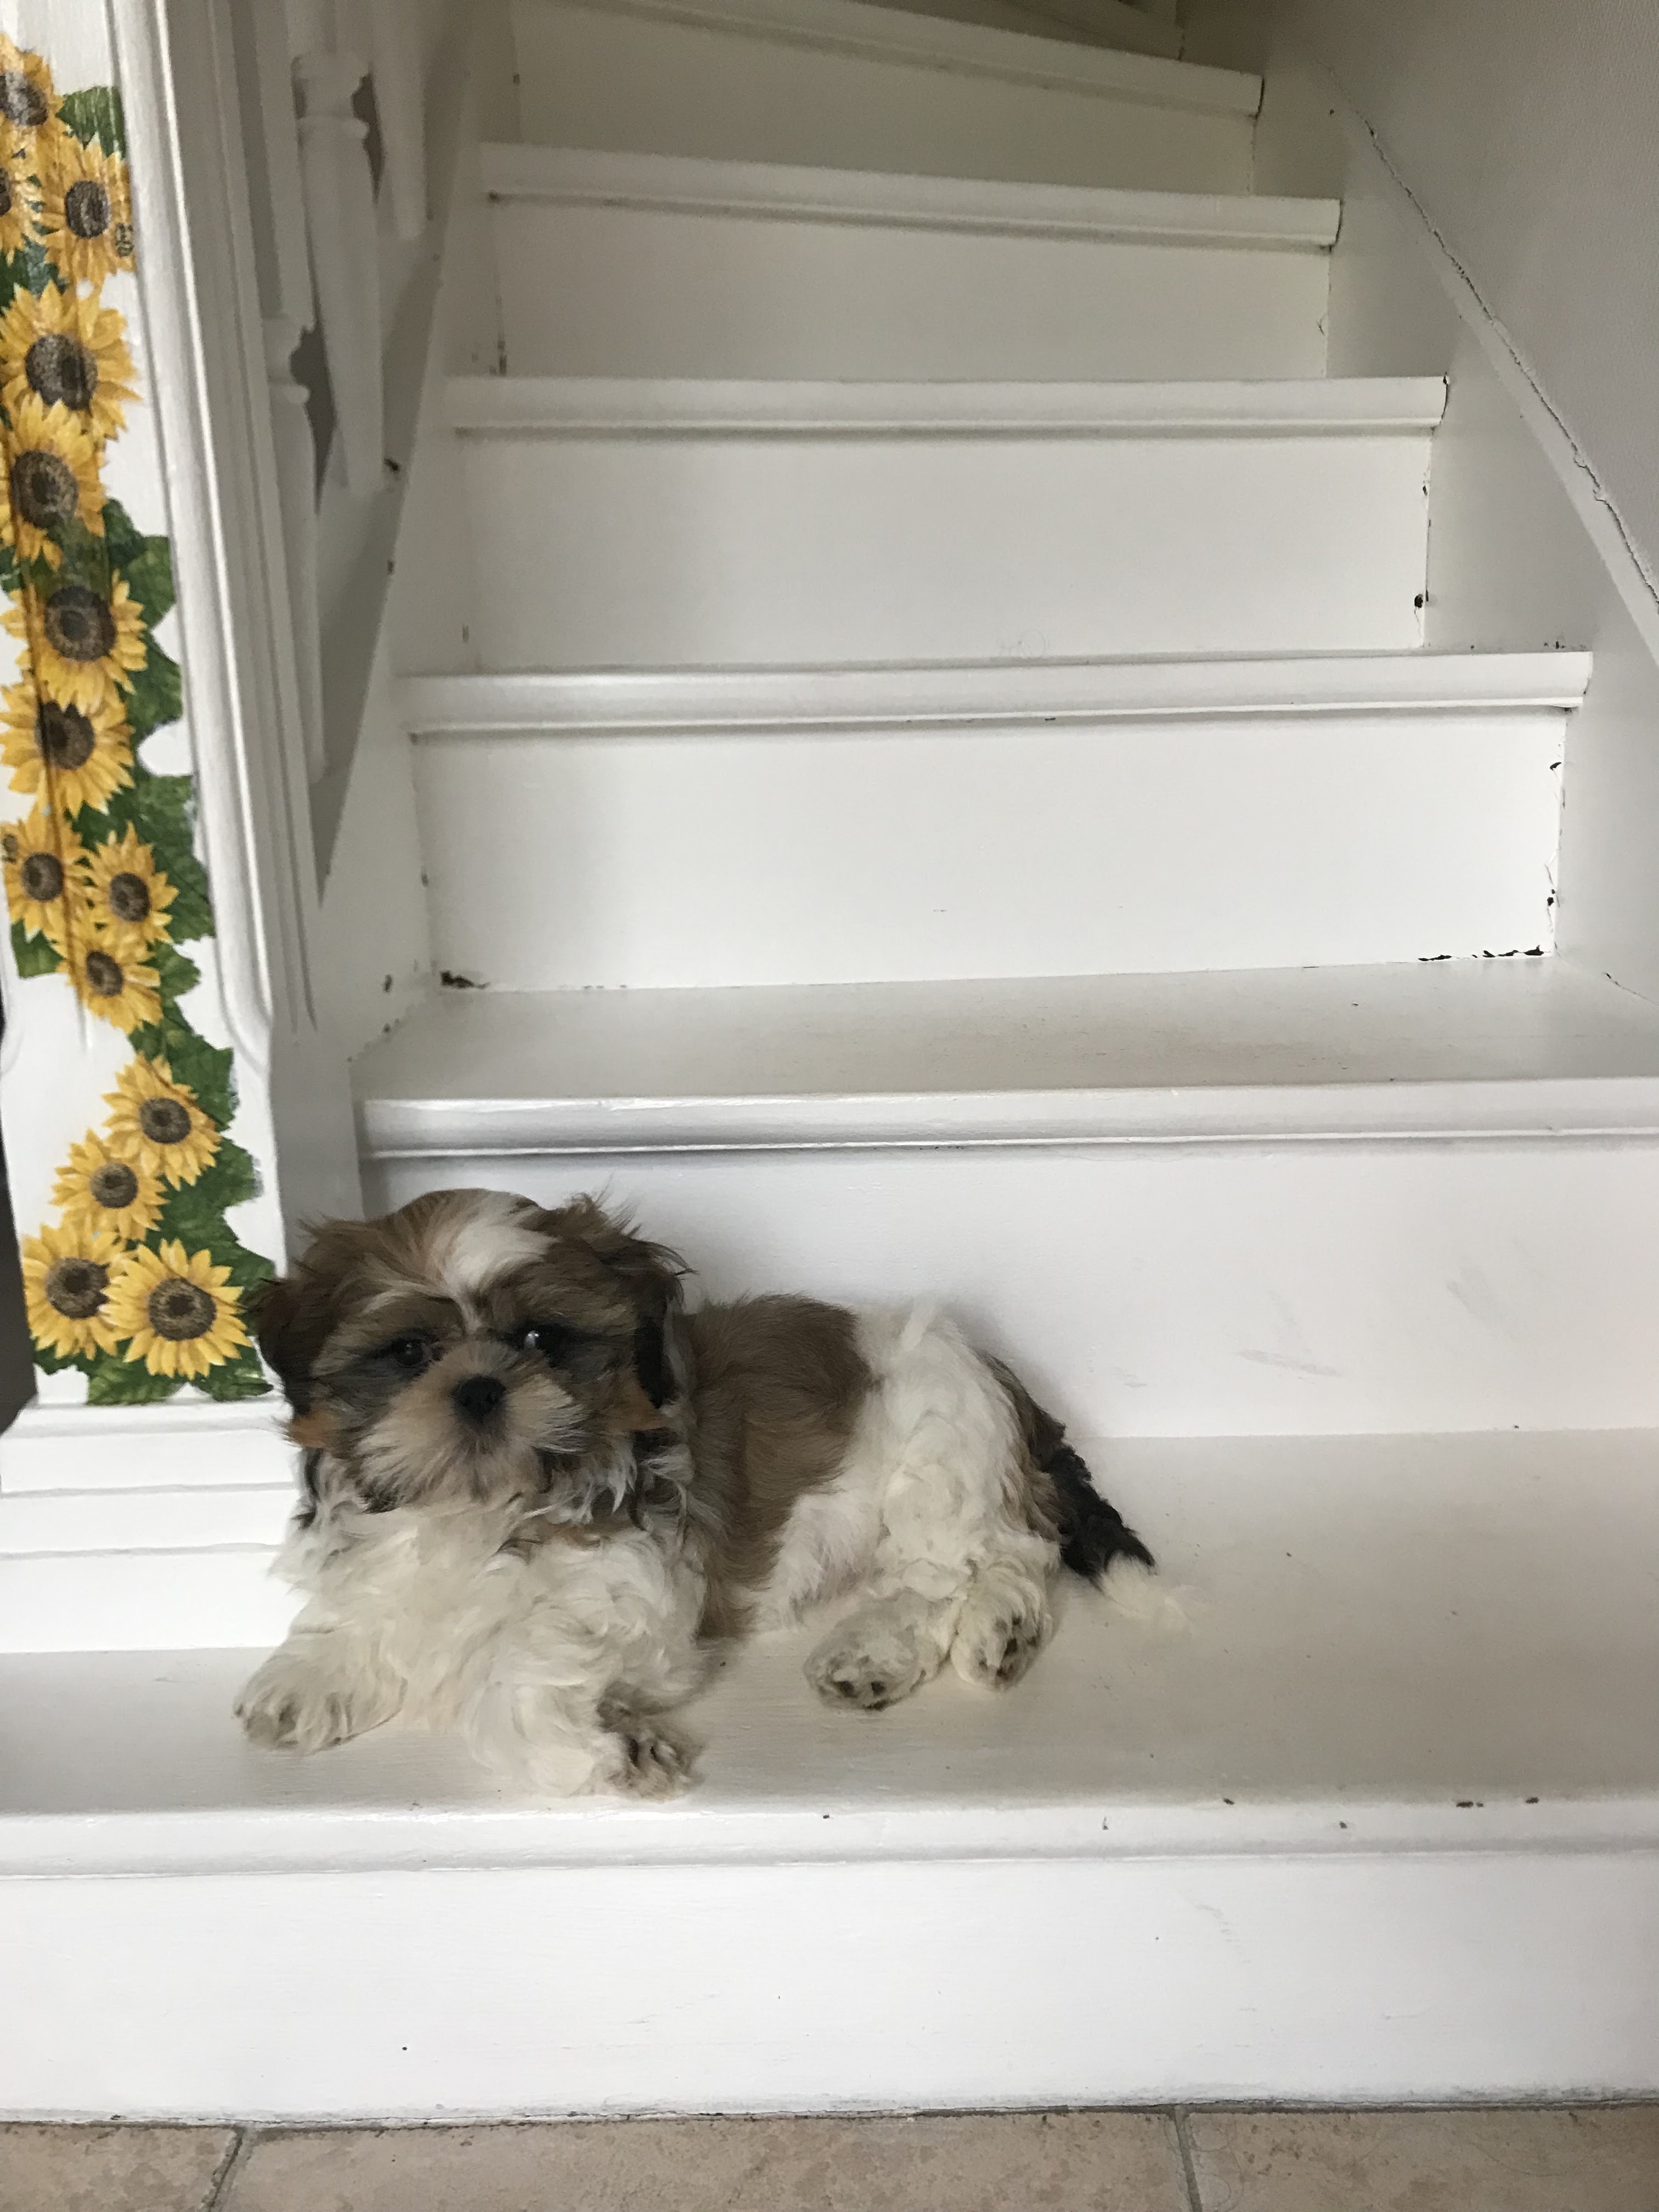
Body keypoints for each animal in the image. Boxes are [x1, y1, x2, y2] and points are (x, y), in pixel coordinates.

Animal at [235, 1188, 1153, 1796]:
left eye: (540, 1340)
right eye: (409, 1353)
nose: (480, 1389)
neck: (484, 1507)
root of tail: (991, 1362)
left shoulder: (641, 1602)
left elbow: (515, 1664)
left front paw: (612, 1755)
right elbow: (366, 1607)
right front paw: (310, 1677)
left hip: (937, 1451)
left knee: (992, 1560)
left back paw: (985, 1634)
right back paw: (896, 1655)